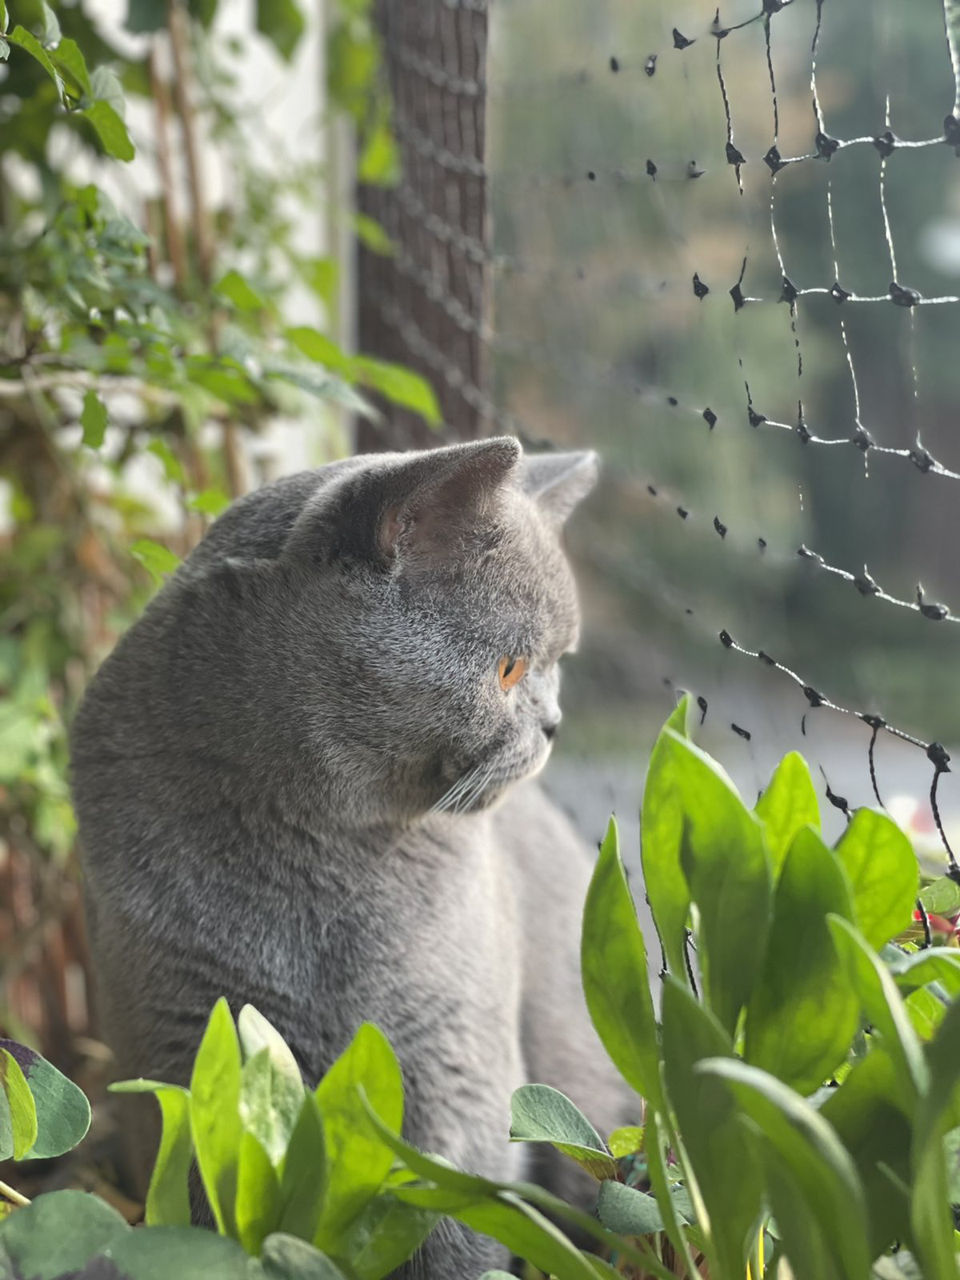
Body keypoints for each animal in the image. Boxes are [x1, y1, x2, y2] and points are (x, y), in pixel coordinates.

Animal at [73, 435, 632, 1274]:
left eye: (557, 663)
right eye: (508, 668)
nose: (555, 723)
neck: (311, 853)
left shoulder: (449, 1056)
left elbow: (453, 1215)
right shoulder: (184, 1034)